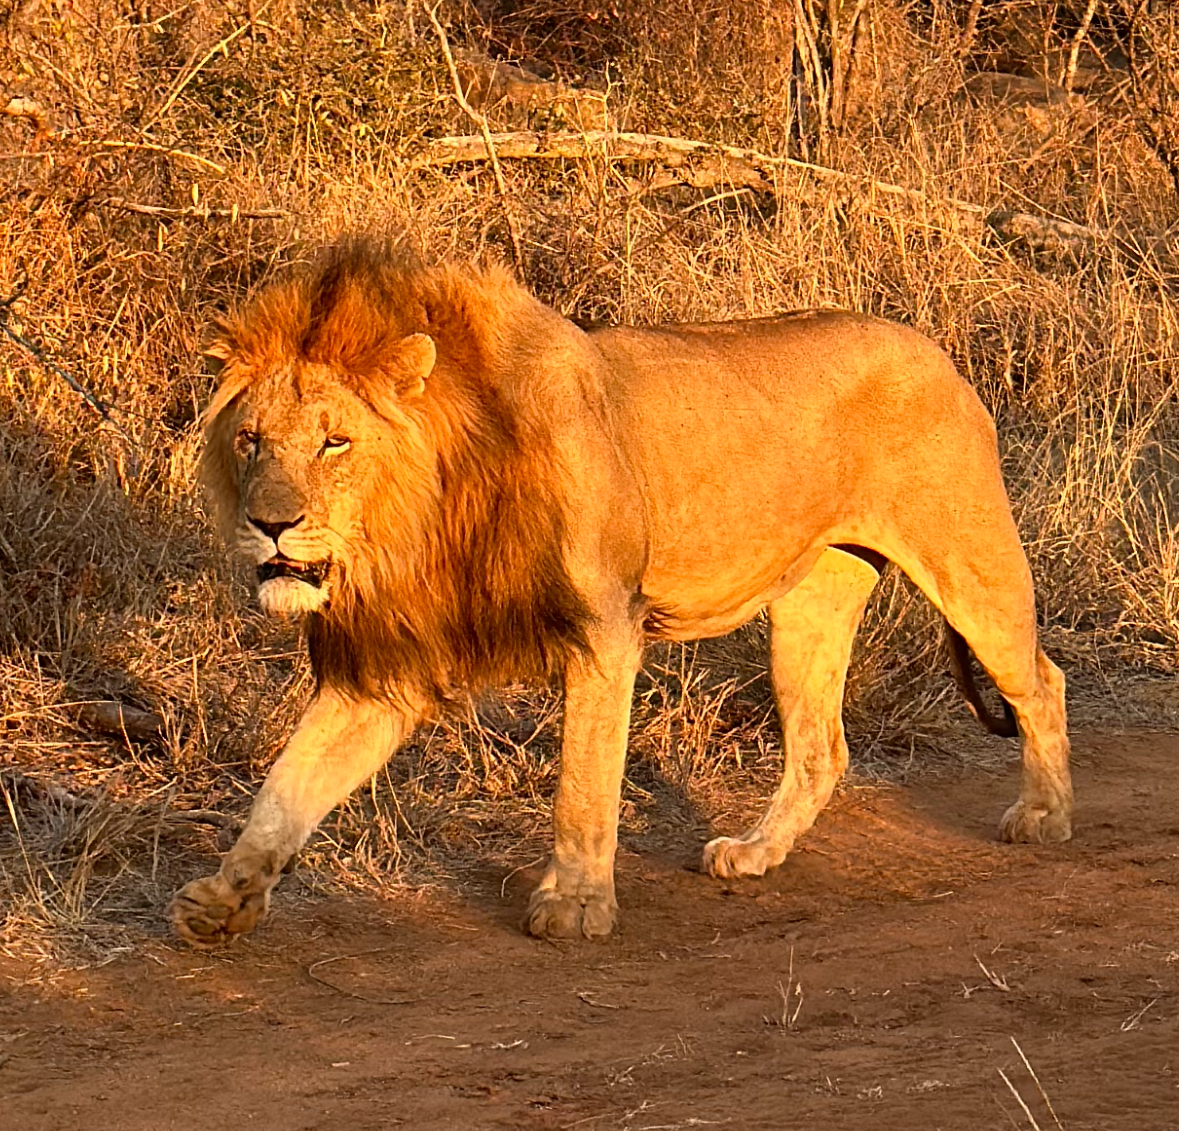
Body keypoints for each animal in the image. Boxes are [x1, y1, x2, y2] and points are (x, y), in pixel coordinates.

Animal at [169, 240, 1072, 947]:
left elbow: (583, 777)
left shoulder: (603, 624)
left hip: (969, 563)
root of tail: (932, 347)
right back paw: (753, 852)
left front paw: (573, 905)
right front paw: (224, 897)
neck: (428, 516)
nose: (269, 524)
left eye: (335, 442)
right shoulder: (387, 671)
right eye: (250, 439)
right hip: (811, 602)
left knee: (1040, 678)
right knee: (823, 745)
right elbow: (289, 785)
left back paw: (1045, 816)